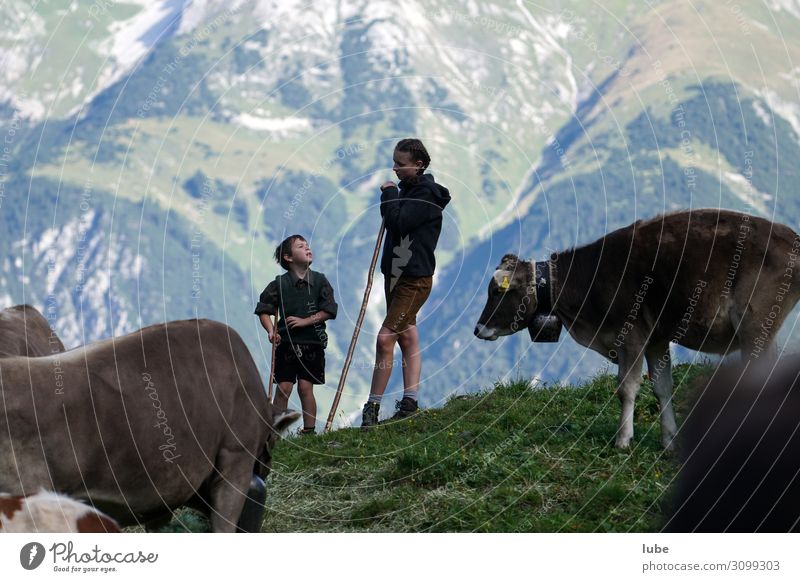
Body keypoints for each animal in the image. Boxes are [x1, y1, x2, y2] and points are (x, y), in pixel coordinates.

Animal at [476, 210, 800, 452]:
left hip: (755, 323)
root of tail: (790, 237)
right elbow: (662, 386)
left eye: (498, 291)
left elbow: (626, 386)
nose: (478, 329)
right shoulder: (656, 340)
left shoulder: (630, 335)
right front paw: (670, 441)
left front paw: (623, 440)